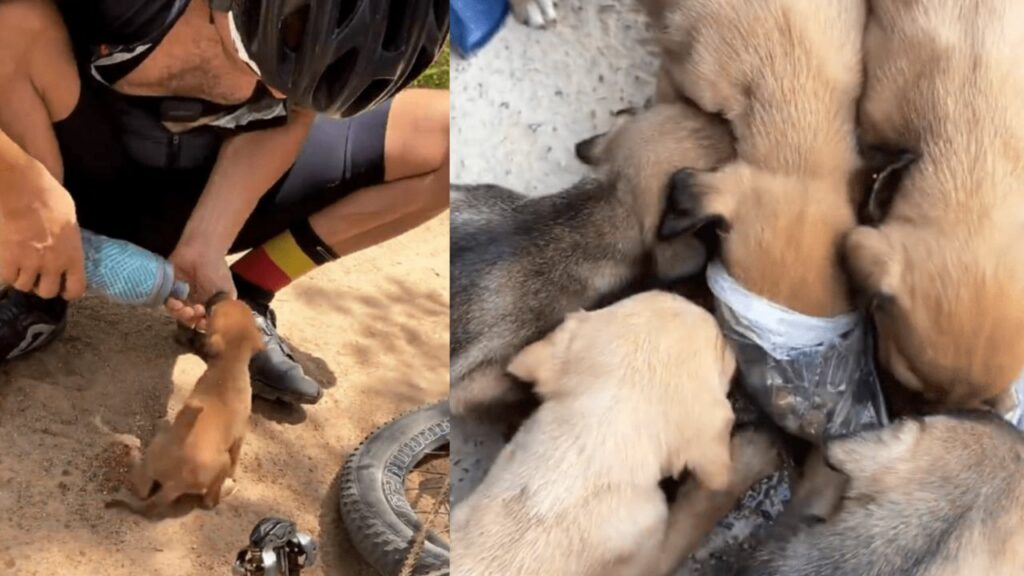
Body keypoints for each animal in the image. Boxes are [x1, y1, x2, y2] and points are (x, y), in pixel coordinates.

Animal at [108, 295, 264, 516]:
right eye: (214, 309)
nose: (219, 294)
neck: (228, 370)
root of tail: (176, 481)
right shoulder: (239, 437)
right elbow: (235, 462)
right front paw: (233, 478)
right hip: (221, 463)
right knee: (209, 500)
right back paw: (226, 489)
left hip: (154, 457)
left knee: (142, 488)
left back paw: (135, 454)